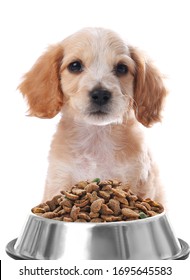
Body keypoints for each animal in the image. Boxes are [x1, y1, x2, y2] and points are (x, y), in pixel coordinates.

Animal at [18, 27, 167, 201]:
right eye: (75, 66)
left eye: (122, 68)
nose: (101, 94)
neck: (97, 136)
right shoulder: (59, 179)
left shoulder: (137, 179)